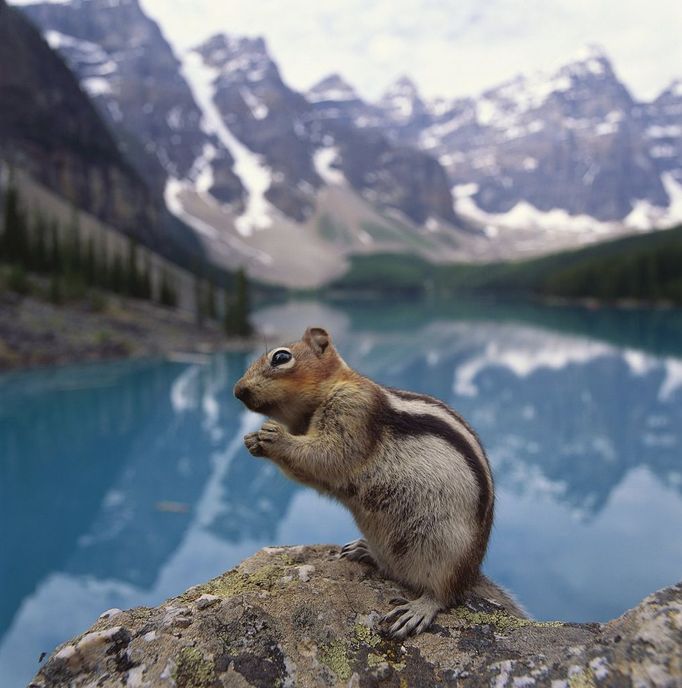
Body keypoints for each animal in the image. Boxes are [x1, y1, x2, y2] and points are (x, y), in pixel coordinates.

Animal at [231, 326, 524, 636]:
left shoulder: (354, 412)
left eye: (281, 357)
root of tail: (471, 573)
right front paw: (252, 441)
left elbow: (329, 455)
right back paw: (364, 550)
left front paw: (274, 437)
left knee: (445, 594)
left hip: (446, 551)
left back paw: (418, 609)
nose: (237, 390)